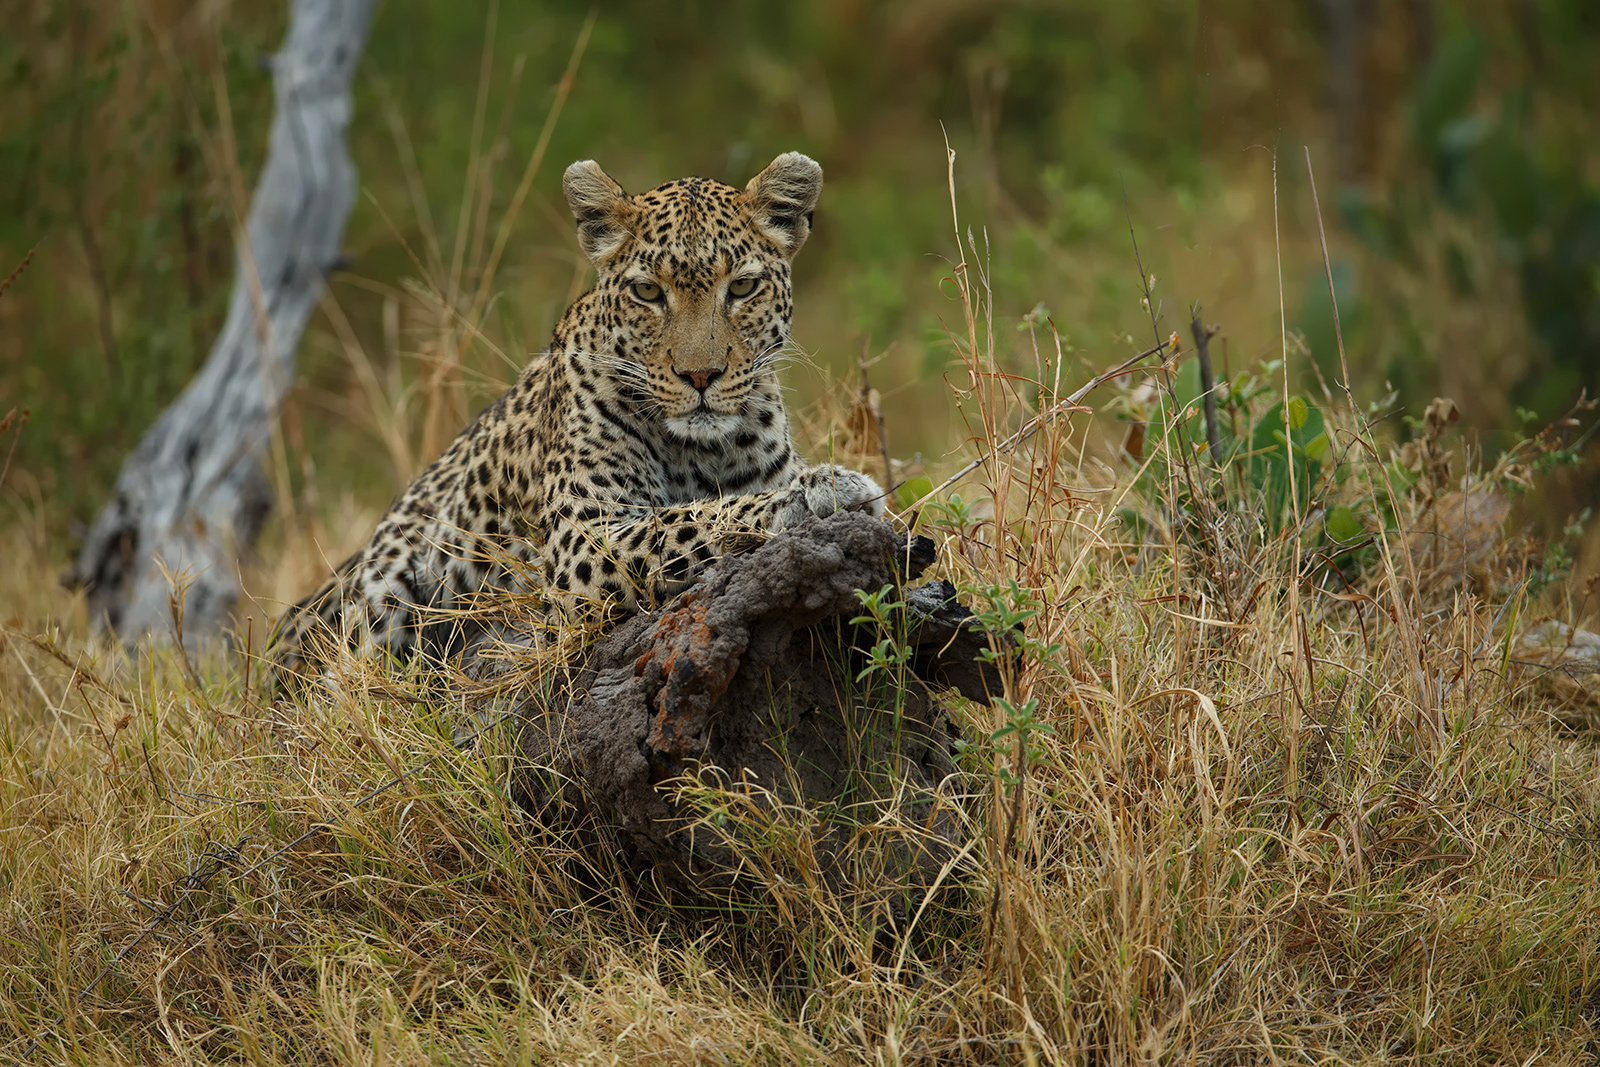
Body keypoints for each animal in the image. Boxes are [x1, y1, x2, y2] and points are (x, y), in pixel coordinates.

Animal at [268, 151, 884, 683]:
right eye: (647, 292)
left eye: (743, 287)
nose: (700, 376)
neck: (705, 449)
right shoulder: (584, 538)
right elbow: (693, 518)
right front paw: (826, 489)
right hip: (381, 592)